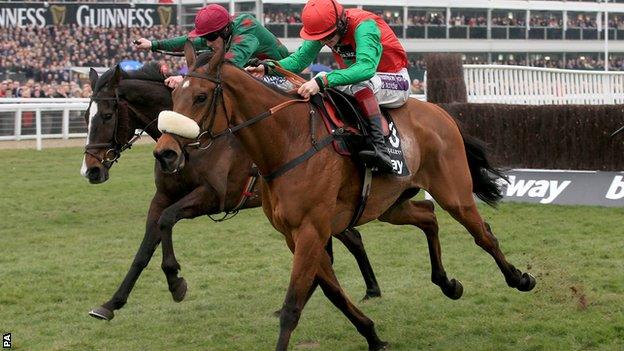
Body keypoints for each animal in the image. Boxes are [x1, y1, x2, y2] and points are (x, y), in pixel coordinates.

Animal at [83, 62, 386, 322]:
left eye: (107, 116)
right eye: (86, 116)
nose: (91, 170)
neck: (191, 142)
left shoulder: (213, 196)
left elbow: (167, 220)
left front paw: (175, 281)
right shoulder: (162, 197)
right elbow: (145, 248)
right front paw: (111, 303)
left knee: (347, 241)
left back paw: (368, 290)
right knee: (344, 242)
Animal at [155, 42, 536, 350]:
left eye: (201, 97)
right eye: (173, 96)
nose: (165, 152)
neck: (287, 142)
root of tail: (441, 112)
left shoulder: (311, 230)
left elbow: (293, 305)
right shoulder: (296, 235)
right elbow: (333, 292)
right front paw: (373, 335)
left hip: (453, 192)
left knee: (483, 234)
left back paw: (519, 278)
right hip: (390, 205)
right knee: (428, 215)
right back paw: (447, 283)